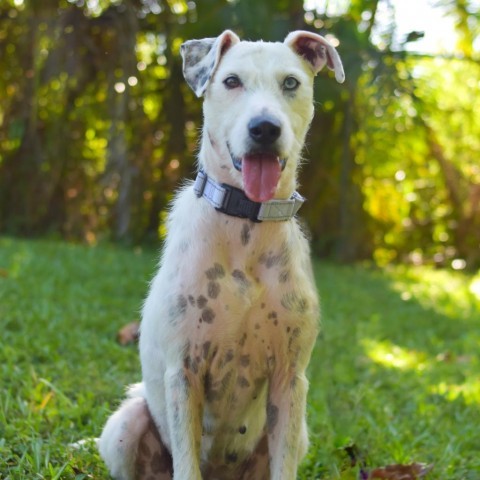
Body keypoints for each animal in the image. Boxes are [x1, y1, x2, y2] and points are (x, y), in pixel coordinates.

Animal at [99, 30, 344, 480]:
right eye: (231, 81)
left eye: (291, 83)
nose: (264, 128)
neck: (245, 227)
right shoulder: (184, 372)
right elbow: (186, 463)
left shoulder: (290, 379)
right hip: (125, 425)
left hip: (299, 432)